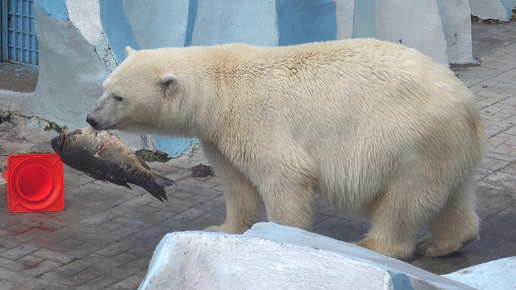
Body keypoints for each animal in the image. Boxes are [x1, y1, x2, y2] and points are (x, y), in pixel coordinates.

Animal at [86, 39, 486, 260]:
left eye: (119, 97)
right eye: (104, 87)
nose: (91, 118)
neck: (219, 87)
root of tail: (467, 103)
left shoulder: (254, 118)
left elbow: (285, 175)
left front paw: (281, 237)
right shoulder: (219, 136)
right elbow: (236, 182)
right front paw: (224, 227)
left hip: (409, 138)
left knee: (404, 199)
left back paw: (375, 245)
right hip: (445, 147)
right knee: (450, 195)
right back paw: (443, 243)